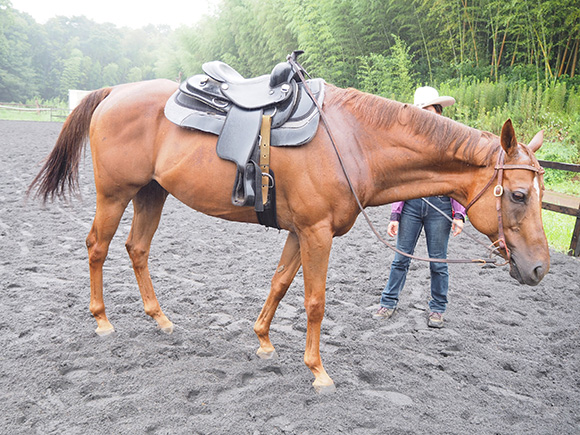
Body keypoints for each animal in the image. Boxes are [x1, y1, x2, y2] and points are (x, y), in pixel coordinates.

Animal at [30, 79, 548, 396]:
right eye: (519, 194)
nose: (540, 267)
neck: (354, 142)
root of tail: (115, 92)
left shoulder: (302, 232)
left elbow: (280, 283)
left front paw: (262, 340)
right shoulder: (318, 233)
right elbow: (315, 301)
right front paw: (318, 371)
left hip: (151, 194)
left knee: (137, 250)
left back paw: (160, 319)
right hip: (115, 194)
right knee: (97, 248)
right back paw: (102, 321)